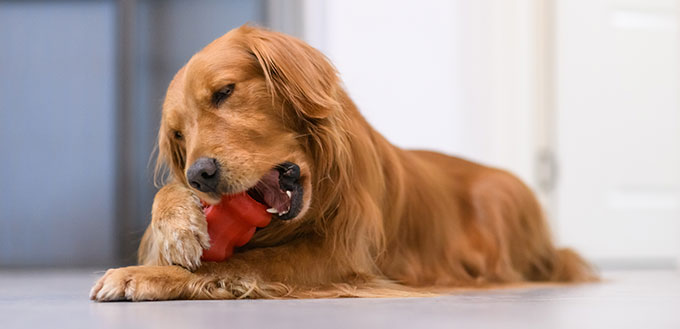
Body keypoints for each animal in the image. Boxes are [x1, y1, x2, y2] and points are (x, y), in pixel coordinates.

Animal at [89, 25, 596, 302]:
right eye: (178, 135)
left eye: (224, 92)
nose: (201, 175)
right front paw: (176, 228)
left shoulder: (339, 257)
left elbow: (236, 265)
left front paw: (142, 275)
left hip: (501, 195)